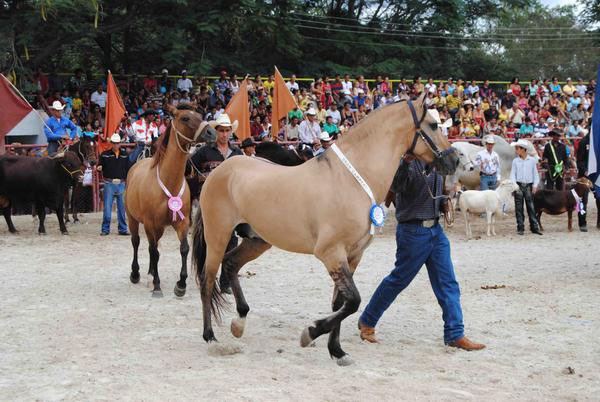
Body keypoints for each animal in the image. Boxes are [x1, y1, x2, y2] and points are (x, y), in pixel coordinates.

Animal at [124, 104, 216, 298]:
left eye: (199, 115)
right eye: (185, 118)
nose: (212, 132)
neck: (168, 183)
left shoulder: (182, 221)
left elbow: (184, 249)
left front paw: (181, 285)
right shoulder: (149, 223)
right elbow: (153, 251)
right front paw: (157, 287)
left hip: (158, 228)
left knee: (153, 246)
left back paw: (151, 273)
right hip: (132, 219)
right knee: (136, 242)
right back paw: (136, 274)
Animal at [192, 93, 460, 364]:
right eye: (433, 125)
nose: (454, 160)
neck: (352, 179)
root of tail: (219, 171)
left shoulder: (352, 256)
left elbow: (340, 303)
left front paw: (337, 351)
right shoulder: (330, 253)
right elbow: (352, 302)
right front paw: (310, 333)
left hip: (257, 240)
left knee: (231, 264)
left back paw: (239, 322)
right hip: (218, 235)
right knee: (207, 279)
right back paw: (210, 337)